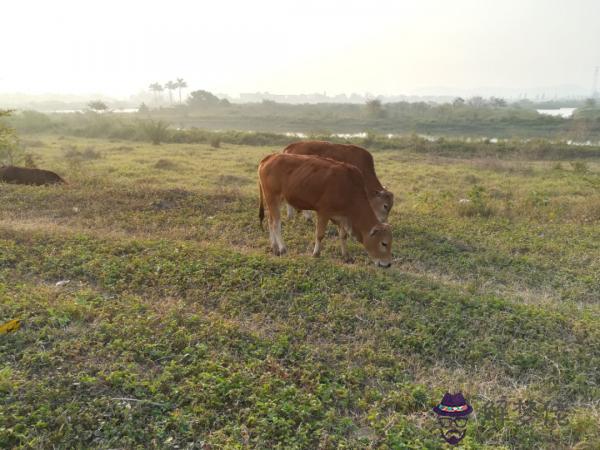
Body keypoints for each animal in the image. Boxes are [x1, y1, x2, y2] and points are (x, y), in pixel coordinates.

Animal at [258, 155, 394, 268]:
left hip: (275, 201)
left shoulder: (343, 216)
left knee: (270, 221)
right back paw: (282, 248)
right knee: (276, 224)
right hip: (272, 197)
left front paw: (346, 256)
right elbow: (320, 235)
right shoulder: (323, 212)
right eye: (384, 243)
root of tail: (269, 158)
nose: (387, 264)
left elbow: (343, 236)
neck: (349, 189)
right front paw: (316, 253)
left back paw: (274, 247)